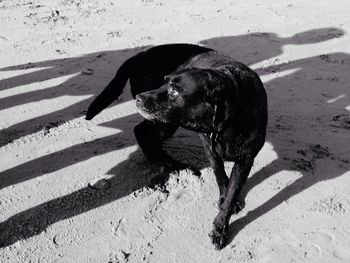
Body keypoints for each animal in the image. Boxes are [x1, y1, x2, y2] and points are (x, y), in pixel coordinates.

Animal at [86, 44, 266, 251]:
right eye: (164, 83)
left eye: (174, 91)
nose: (139, 98)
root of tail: (138, 56)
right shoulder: (210, 148)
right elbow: (220, 175)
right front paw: (221, 217)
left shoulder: (246, 159)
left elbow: (232, 192)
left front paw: (221, 225)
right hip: (166, 122)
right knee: (142, 133)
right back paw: (170, 164)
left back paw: (168, 162)